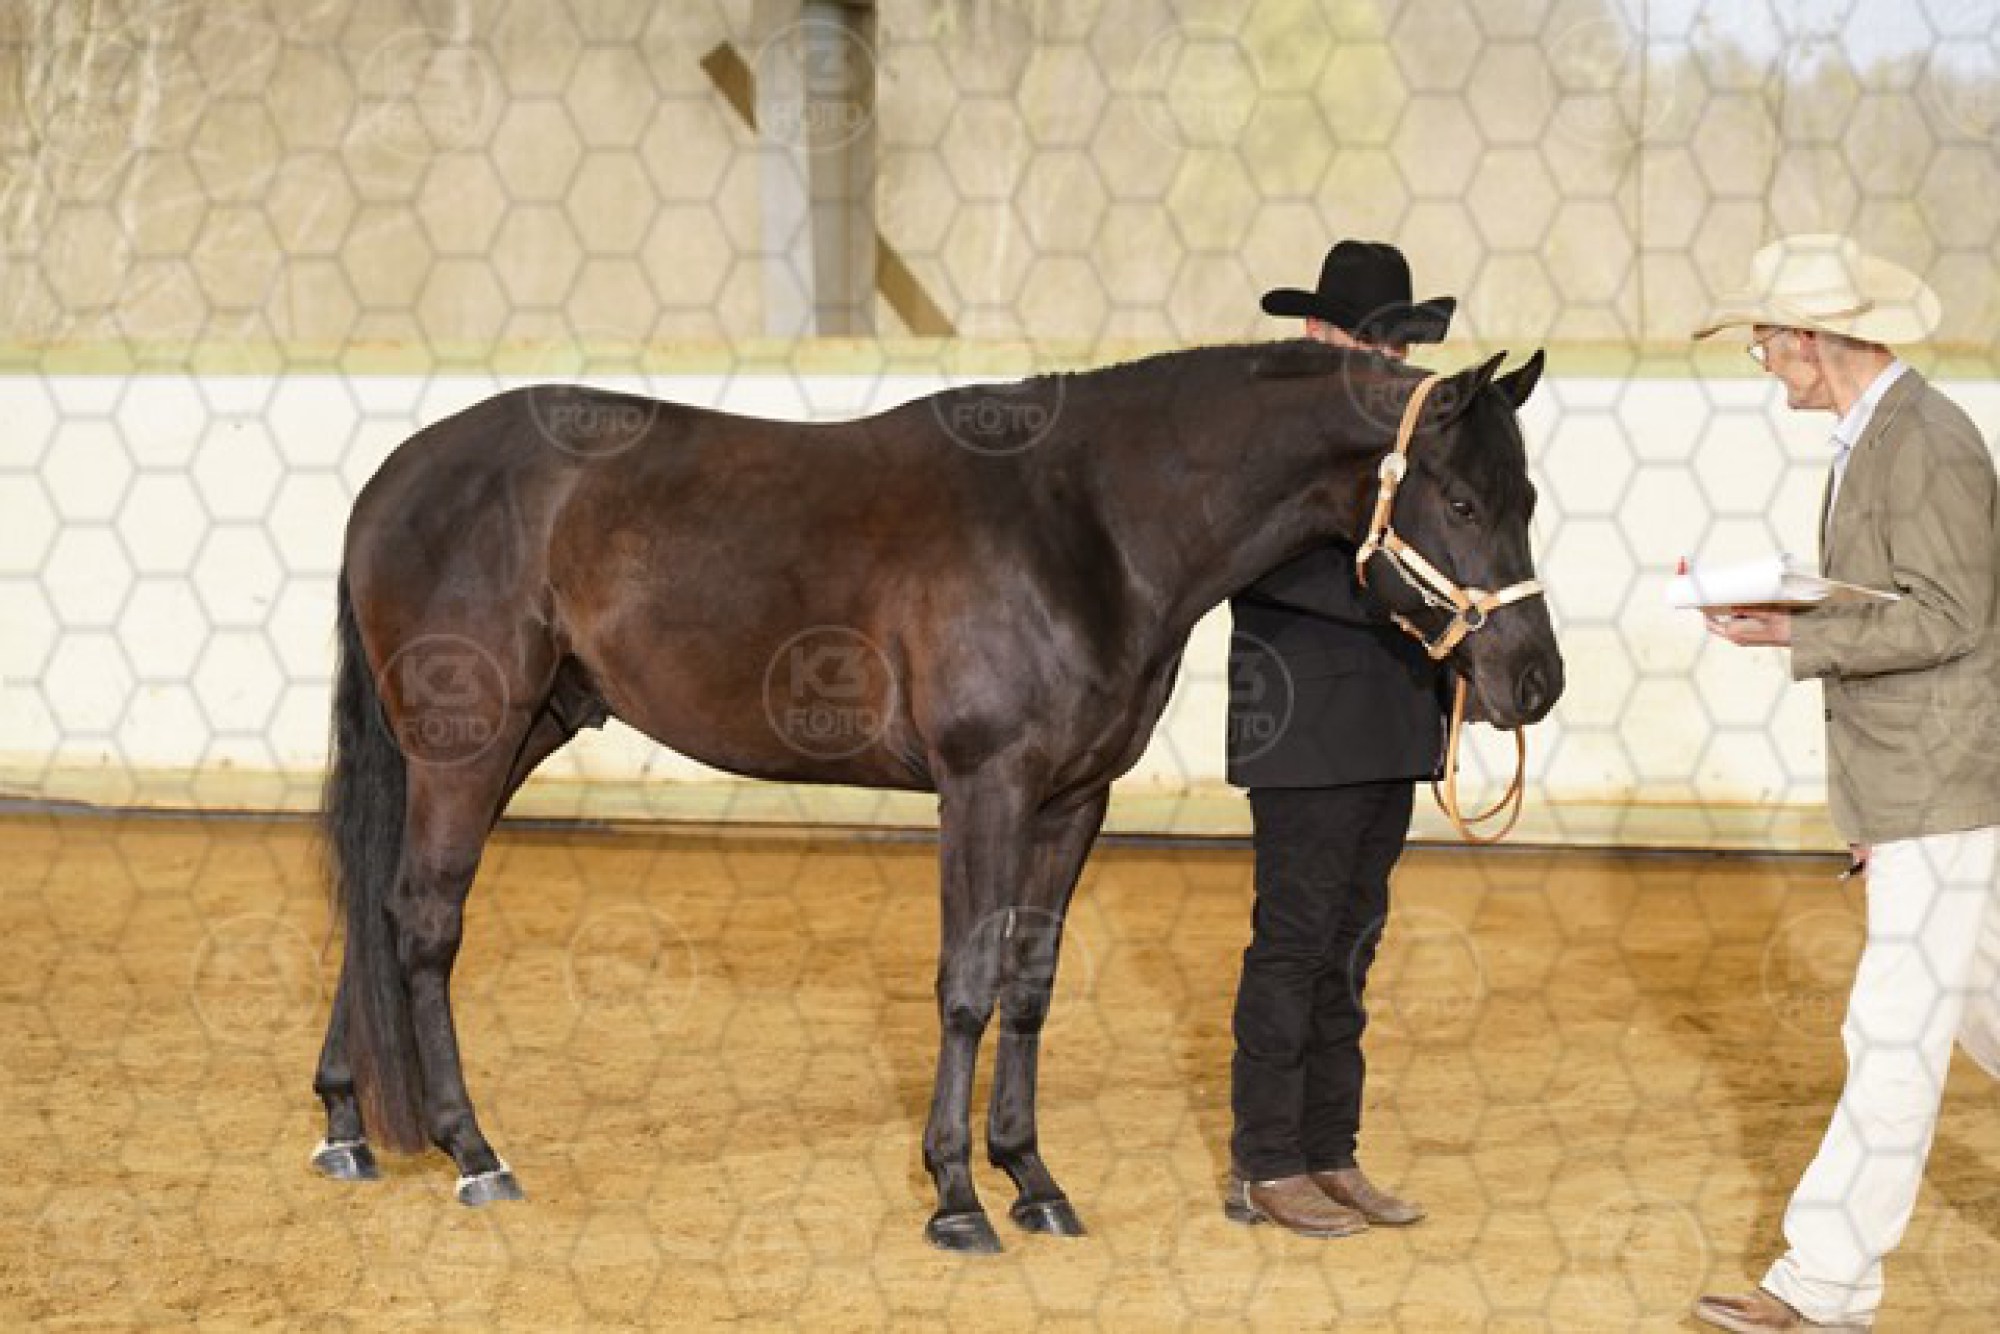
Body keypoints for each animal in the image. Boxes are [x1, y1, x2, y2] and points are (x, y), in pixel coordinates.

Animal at [311, 339, 1564, 1253]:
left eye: (1526, 496)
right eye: (1457, 498)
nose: (1532, 680)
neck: (1086, 524)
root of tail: (391, 478)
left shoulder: (1071, 799)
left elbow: (1030, 984)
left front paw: (1033, 1177)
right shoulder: (983, 786)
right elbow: (964, 984)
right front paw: (956, 1196)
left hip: (516, 731)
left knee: (375, 906)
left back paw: (347, 1126)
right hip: (468, 744)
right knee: (423, 920)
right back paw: (473, 1150)